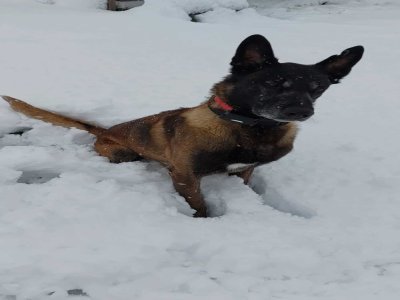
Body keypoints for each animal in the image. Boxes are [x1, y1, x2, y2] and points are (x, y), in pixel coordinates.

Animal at [3, 34, 364, 218]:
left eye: (317, 88)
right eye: (272, 82)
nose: (302, 111)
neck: (250, 129)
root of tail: (103, 130)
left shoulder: (245, 171)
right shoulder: (186, 175)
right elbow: (199, 204)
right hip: (123, 154)